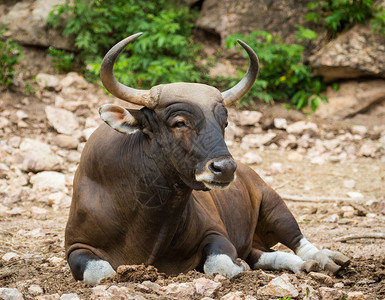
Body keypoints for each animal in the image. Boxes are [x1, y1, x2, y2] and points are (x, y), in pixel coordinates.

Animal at [65, 32, 348, 284]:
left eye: (224, 122)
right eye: (179, 122)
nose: (225, 168)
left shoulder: (217, 233)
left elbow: (220, 264)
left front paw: (238, 266)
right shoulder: (76, 247)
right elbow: (101, 273)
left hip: (275, 204)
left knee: (298, 241)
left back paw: (325, 259)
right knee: (264, 254)